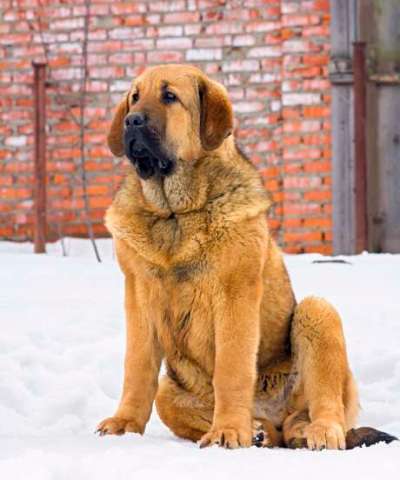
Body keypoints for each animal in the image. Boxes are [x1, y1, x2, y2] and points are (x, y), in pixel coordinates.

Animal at [97, 64, 396, 450]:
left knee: (324, 406)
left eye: (169, 96)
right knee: (273, 428)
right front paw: (124, 424)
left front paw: (228, 430)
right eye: (134, 97)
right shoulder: (139, 296)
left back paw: (314, 431)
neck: (175, 214)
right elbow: (136, 368)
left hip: (317, 313)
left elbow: (232, 369)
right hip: (169, 390)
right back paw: (260, 430)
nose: (131, 121)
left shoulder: (234, 295)